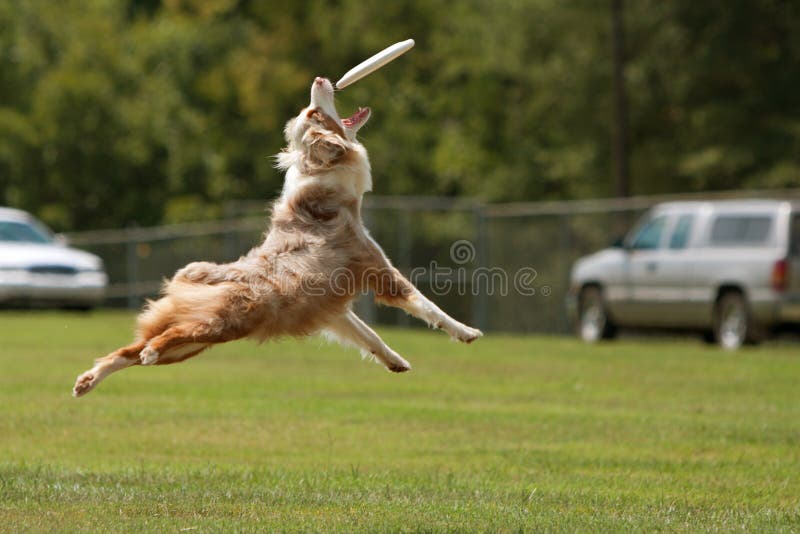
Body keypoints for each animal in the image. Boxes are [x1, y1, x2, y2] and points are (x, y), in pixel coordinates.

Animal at [73, 78, 482, 398]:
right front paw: (466, 332)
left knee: (125, 351)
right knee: (158, 342)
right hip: (217, 326)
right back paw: (145, 354)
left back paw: (88, 380)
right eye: (313, 113)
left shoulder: (332, 309)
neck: (321, 188)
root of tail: (206, 276)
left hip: (194, 344)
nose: (319, 78)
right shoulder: (378, 270)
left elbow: (370, 336)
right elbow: (429, 307)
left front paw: (395, 360)